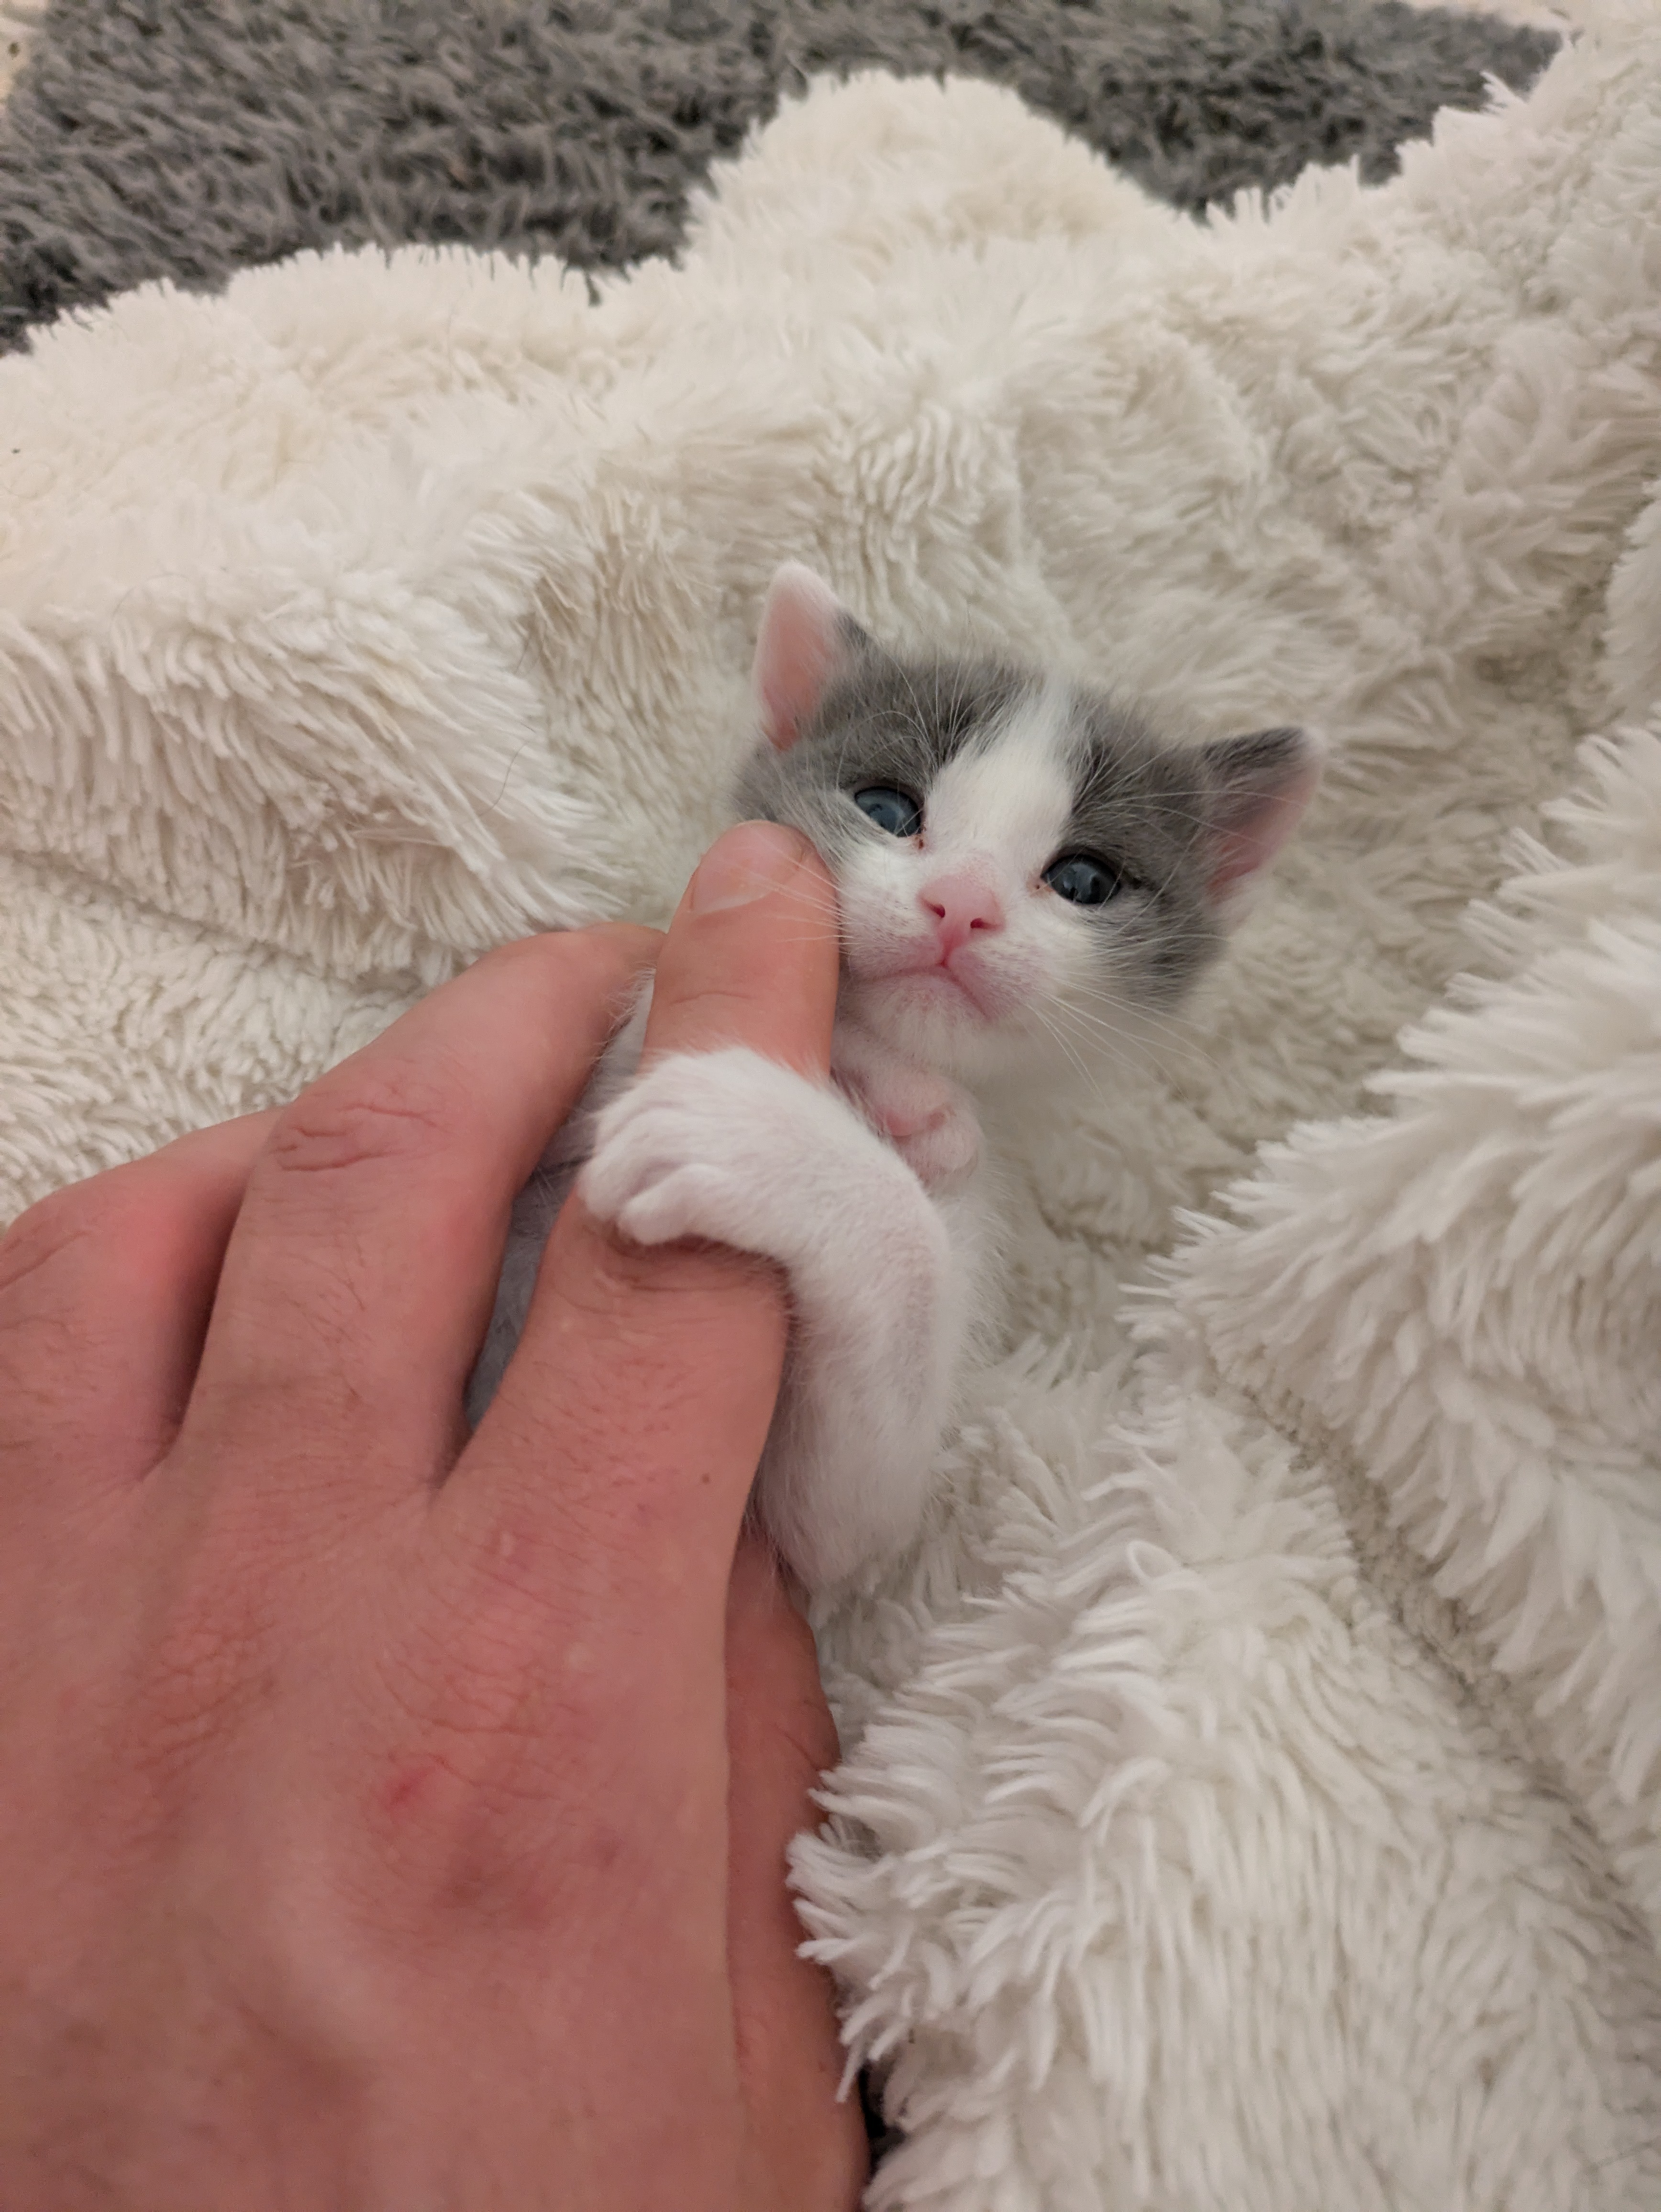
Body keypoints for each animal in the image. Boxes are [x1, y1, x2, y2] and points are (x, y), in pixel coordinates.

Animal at [467, 563, 1323, 1591]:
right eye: (887, 809)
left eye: (1083, 879)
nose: (962, 904)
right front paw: (875, 1067)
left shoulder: (831, 1514)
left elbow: (849, 1501)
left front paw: (748, 1133)